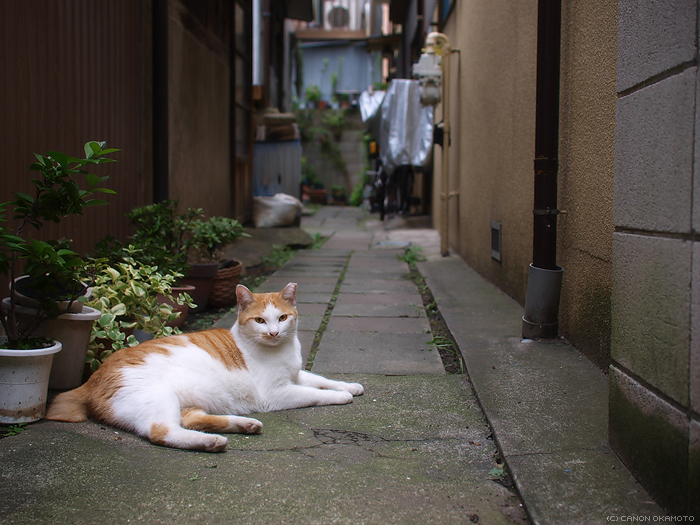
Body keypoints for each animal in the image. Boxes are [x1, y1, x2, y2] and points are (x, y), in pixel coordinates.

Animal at [46, 282, 364, 450]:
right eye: (260, 321)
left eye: (283, 318)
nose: (274, 333)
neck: (281, 350)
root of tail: (90, 379)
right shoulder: (276, 393)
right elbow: (315, 393)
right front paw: (340, 396)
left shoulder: (296, 374)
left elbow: (320, 379)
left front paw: (349, 386)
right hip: (158, 398)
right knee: (162, 431)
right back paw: (212, 442)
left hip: (189, 403)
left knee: (191, 420)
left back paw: (243, 425)